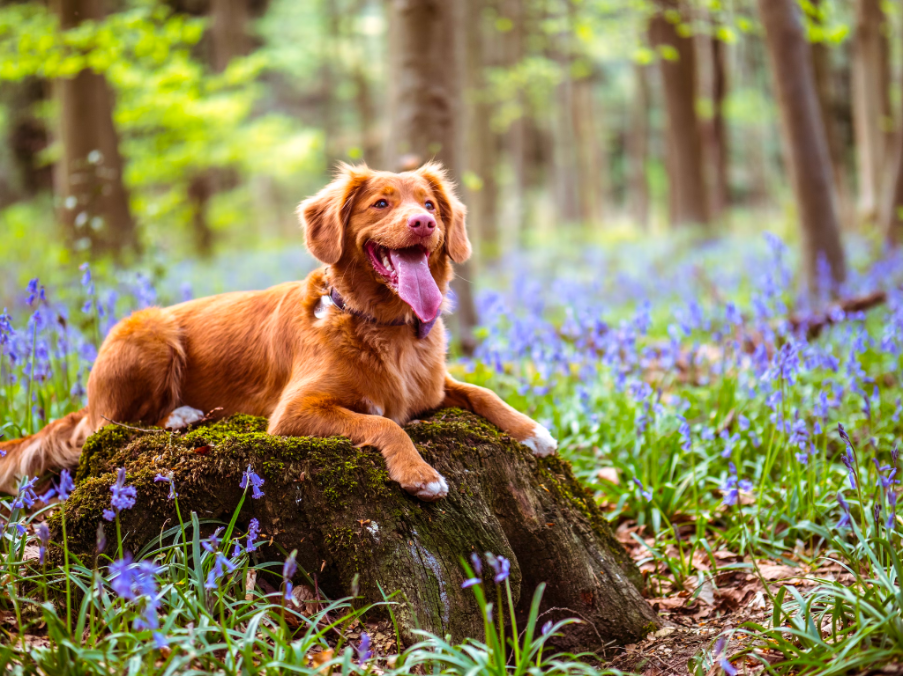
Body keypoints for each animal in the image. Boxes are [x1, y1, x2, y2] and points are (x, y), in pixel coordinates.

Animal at [0, 162, 556, 502]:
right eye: (381, 204)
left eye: (431, 204)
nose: (423, 223)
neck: (383, 327)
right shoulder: (294, 412)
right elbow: (385, 424)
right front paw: (420, 474)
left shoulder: (433, 388)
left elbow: (482, 392)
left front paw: (533, 431)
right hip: (149, 331)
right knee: (110, 425)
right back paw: (180, 415)